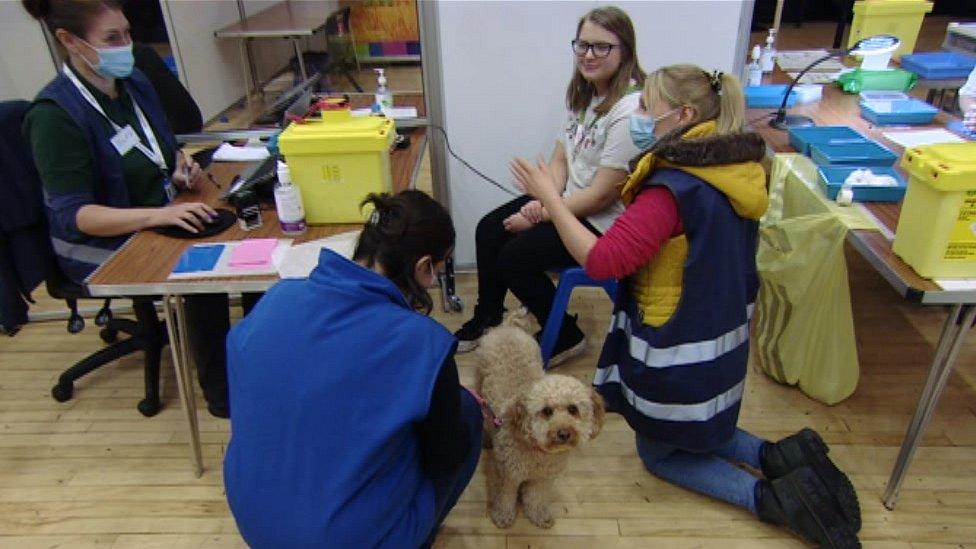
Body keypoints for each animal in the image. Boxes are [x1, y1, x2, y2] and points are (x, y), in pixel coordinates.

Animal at [472, 322, 604, 528]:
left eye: (573, 409)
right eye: (546, 411)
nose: (564, 433)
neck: (538, 451)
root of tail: (506, 327)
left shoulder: (542, 479)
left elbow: (536, 498)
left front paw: (539, 515)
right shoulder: (508, 476)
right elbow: (505, 498)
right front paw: (502, 517)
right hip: (480, 385)